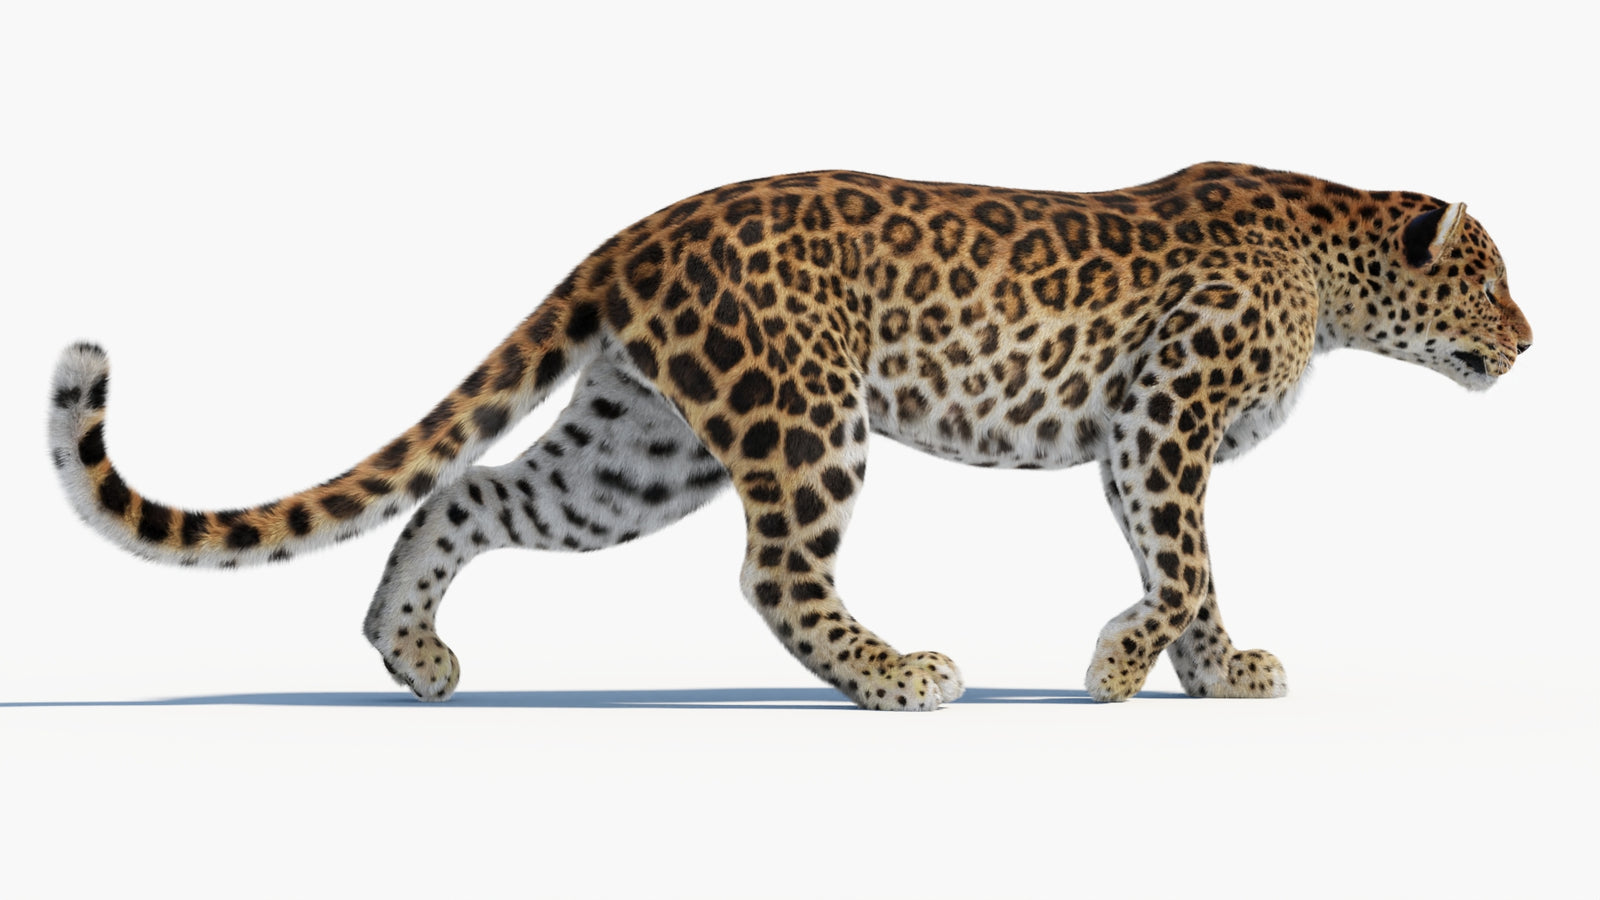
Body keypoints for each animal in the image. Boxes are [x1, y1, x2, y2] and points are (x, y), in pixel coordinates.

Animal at [48, 162, 1533, 709]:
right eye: (1491, 282)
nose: (1531, 342)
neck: (1334, 273)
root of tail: (640, 230)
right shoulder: (1162, 414)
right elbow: (1183, 566)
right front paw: (1133, 669)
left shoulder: (1149, 437)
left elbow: (1191, 569)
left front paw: (1204, 673)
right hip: (803, 413)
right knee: (775, 572)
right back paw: (897, 676)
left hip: (637, 452)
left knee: (467, 494)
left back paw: (409, 652)